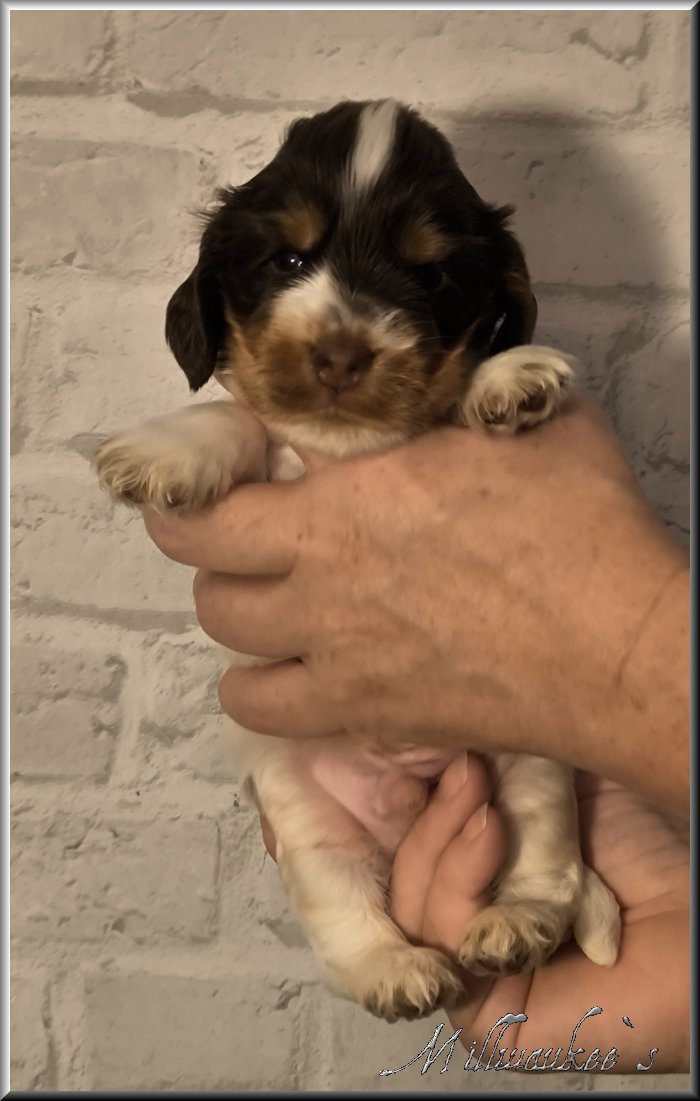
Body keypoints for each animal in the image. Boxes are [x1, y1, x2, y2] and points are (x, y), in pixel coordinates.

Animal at [96, 99, 620, 1022]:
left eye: (432, 277)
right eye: (289, 259)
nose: (339, 355)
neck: (346, 451)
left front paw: (508, 377)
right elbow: (241, 419)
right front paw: (165, 451)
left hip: (531, 764)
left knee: (545, 863)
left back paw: (514, 924)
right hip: (307, 810)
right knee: (343, 911)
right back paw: (395, 968)